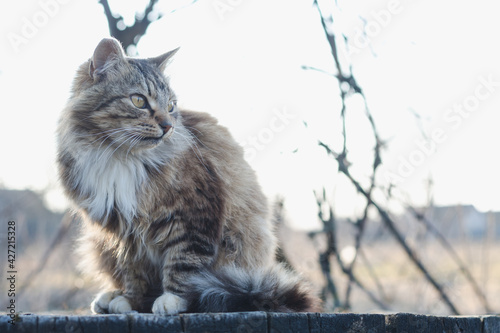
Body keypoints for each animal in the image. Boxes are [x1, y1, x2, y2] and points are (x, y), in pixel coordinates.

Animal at [55, 37, 320, 312]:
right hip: (97, 245)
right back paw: (112, 297)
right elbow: (133, 273)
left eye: (171, 106)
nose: (168, 126)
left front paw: (172, 300)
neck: (120, 157)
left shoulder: (194, 216)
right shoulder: (124, 232)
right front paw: (131, 300)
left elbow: (184, 263)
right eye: (139, 101)